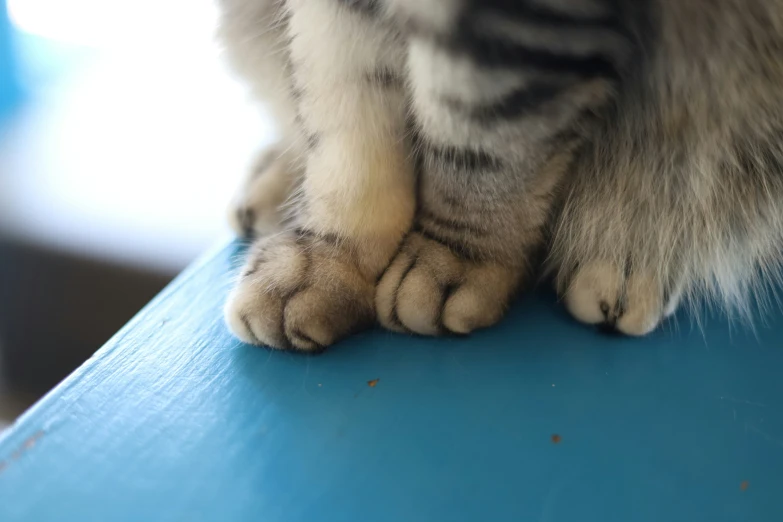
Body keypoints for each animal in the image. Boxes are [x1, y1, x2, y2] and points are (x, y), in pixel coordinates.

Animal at [217, 0, 783, 352]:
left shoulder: (519, 27)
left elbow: (479, 137)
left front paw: (456, 256)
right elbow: (348, 123)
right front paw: (331, 259)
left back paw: (627, 257)